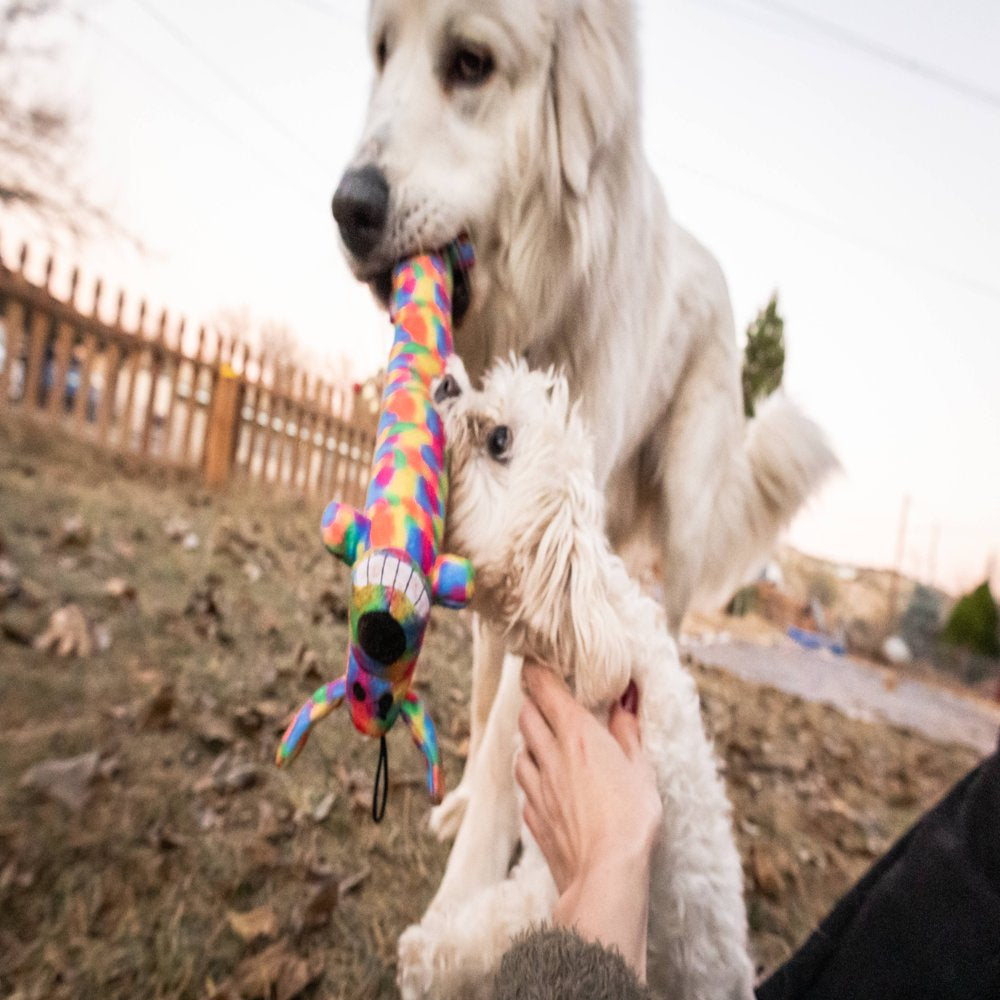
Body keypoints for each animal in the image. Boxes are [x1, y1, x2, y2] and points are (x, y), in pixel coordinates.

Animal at [394, 360, 752, 1000]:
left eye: (500, 440)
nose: (450, 381)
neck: (585, 640)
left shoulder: (554, 885)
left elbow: (499, 929)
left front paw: (426, 958)